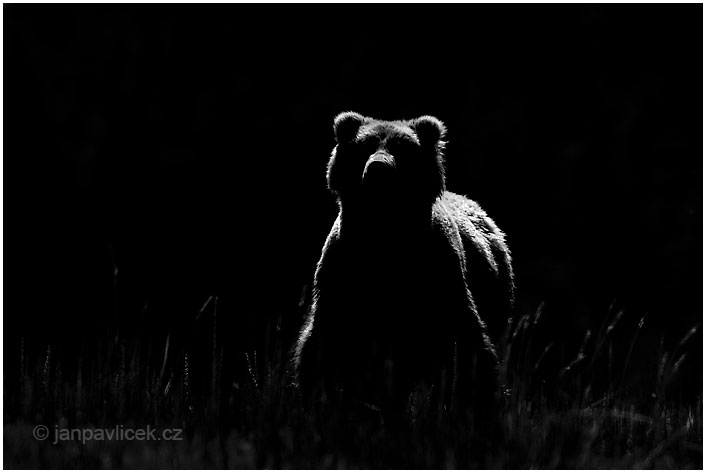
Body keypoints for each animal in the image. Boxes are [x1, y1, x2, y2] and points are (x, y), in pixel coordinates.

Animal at [294, 111, 516, 420]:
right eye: (365, 145)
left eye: (402, 148)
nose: (379, 169)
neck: (388, 237)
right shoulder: (343, 273)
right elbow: (324, 348)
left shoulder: (438, 275)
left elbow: (468, 349)